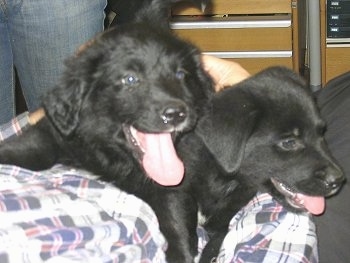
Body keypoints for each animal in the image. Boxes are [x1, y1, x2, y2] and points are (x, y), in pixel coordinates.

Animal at [0, 20, 213, 263]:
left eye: (181, 74)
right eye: (130, 79)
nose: (177, 114)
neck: (113, 156)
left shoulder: (176, 176)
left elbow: (174, 211)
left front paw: (181, 252)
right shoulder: (58, 131)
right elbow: (35, 147)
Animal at [176, 66, 346, 263]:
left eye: (322, 133)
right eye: (289, 142)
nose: (338, 180)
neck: (223, 179)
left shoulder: (225, 218)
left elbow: (216, 243)